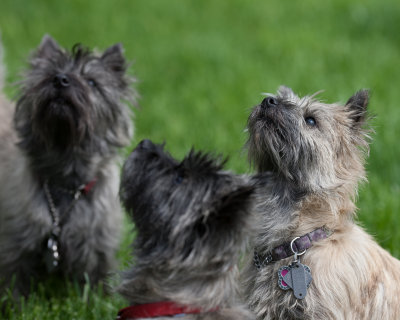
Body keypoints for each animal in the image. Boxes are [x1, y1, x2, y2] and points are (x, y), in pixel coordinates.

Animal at [0, 35, 134, 298]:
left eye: (92, 82)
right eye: (51, 72)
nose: (60, 80)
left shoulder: (97, 244)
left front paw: (99, 300)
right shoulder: (15, 242)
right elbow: (15, 281)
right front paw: (15, 303)